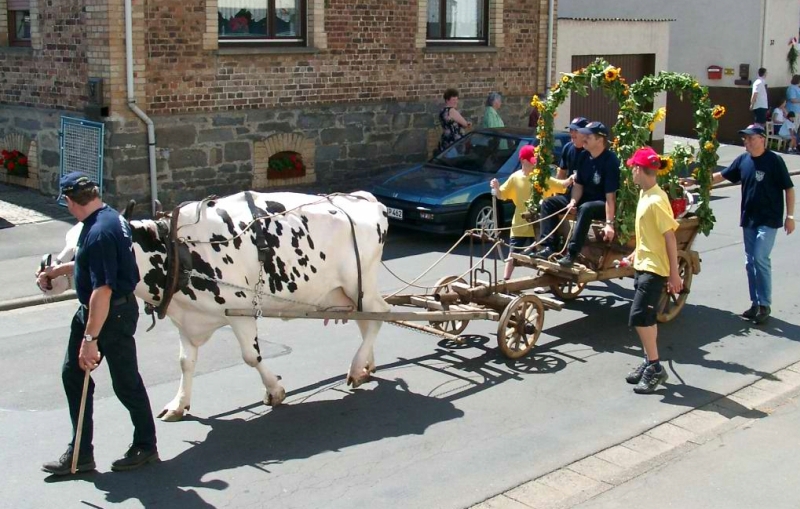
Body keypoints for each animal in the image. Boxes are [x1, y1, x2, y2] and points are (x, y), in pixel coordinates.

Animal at [43, 190, 390, 420]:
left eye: (82, 247)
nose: (46, 277)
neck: (175, 251)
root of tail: (365, 198)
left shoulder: (240, 311)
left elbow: (251, 356)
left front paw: (274, 390)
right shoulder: (186, 319)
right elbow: (185, 362)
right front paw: (178, 404)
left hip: (360, 284)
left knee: (379, 315)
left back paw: (357, 367)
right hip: (348, 291)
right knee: (367, 319)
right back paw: (366, 365)